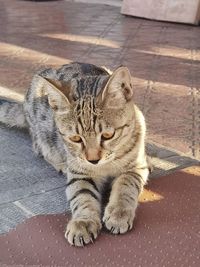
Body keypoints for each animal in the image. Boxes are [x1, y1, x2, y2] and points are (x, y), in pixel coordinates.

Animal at [0, 62, 151, 247]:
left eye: (108, 135)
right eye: (76, 138)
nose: (93, 160)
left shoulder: (135, 168)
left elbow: (125, 186)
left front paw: (118, 213)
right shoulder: (80, 174)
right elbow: (82, 195)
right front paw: (83, 222)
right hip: (44, 136)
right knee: (40, 149)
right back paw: (61, 164)